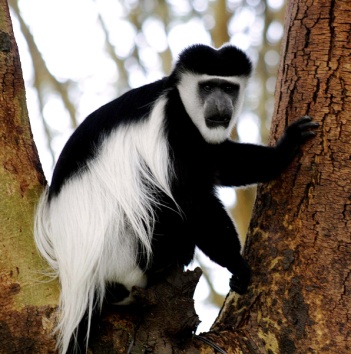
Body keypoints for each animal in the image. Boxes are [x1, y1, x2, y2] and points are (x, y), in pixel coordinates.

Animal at [35, 43, 320, 352]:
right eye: (207, 87)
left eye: (228, 87)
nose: (221, 104)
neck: (181, 103)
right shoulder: (173, 129)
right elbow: (193, 199)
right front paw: (238, 265)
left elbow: (220, 161)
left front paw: (287, 146)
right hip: (125, 252)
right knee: (158, 200)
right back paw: (165, 264)